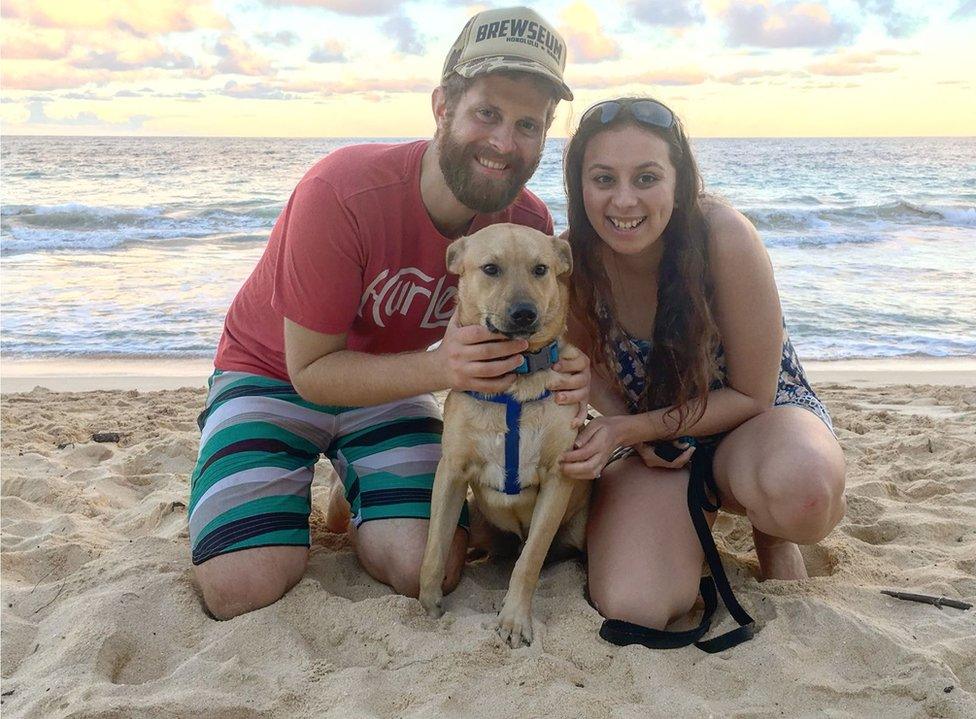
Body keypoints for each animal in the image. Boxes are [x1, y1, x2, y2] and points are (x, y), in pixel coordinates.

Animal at [418, 224, 588, 648]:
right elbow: (434, 548)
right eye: (491, 268)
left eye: (541, 269)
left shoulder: (558, 477)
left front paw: (514, 620)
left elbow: (529, 561)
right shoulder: (451, 471)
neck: (515, 377)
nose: (524, 312)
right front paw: (427, 605)